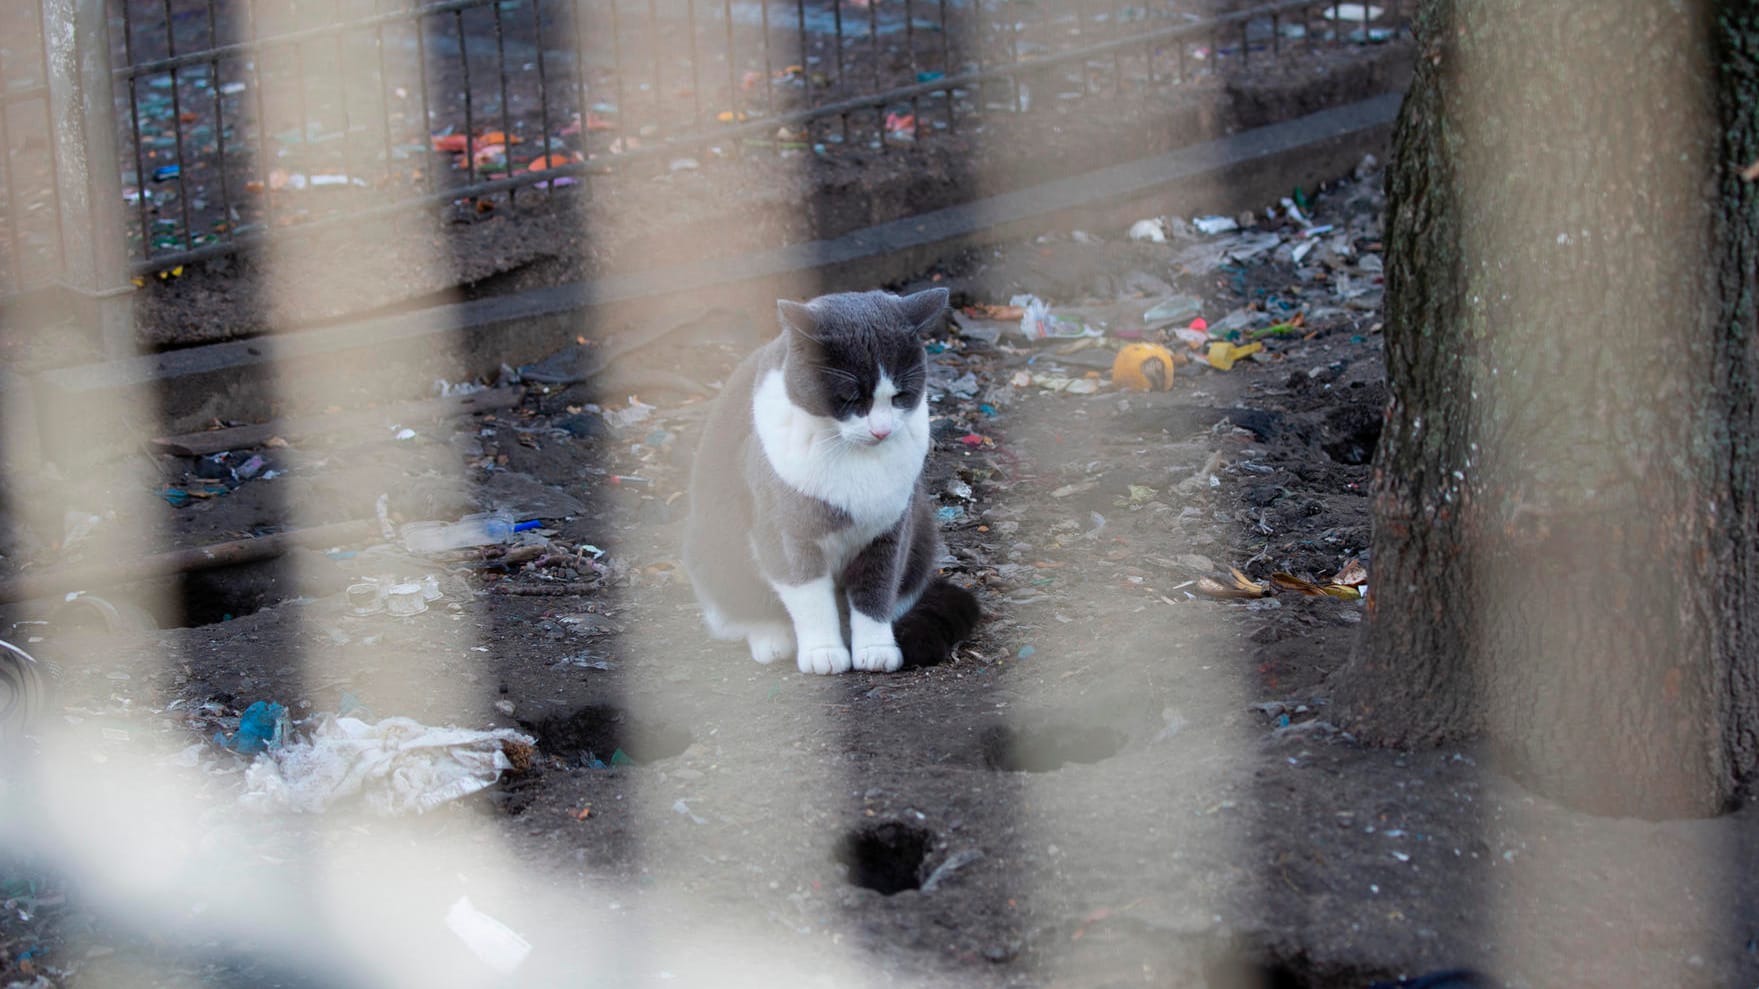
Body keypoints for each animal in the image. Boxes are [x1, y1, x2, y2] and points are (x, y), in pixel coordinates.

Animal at [686, 285, 985, 668]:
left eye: (900, 395)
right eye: (851, 397)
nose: (881, 430)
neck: (853, 455)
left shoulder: (890, 530)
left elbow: (876, 590)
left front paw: (875, 649)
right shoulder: (787, 532)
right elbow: (810, 597)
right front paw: (823, 652)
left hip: (923, 534)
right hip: (712, 547)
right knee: (735, 614)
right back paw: (772, 637)